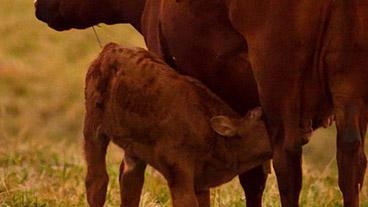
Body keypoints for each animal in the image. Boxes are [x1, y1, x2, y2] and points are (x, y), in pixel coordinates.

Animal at [84, 42, 274, 207]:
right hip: (93, 128)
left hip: (133, 149)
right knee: (97, 181)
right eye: (261, 119)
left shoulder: (201, 183)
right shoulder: (179, 173)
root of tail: (110, 48)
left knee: (130, 183)